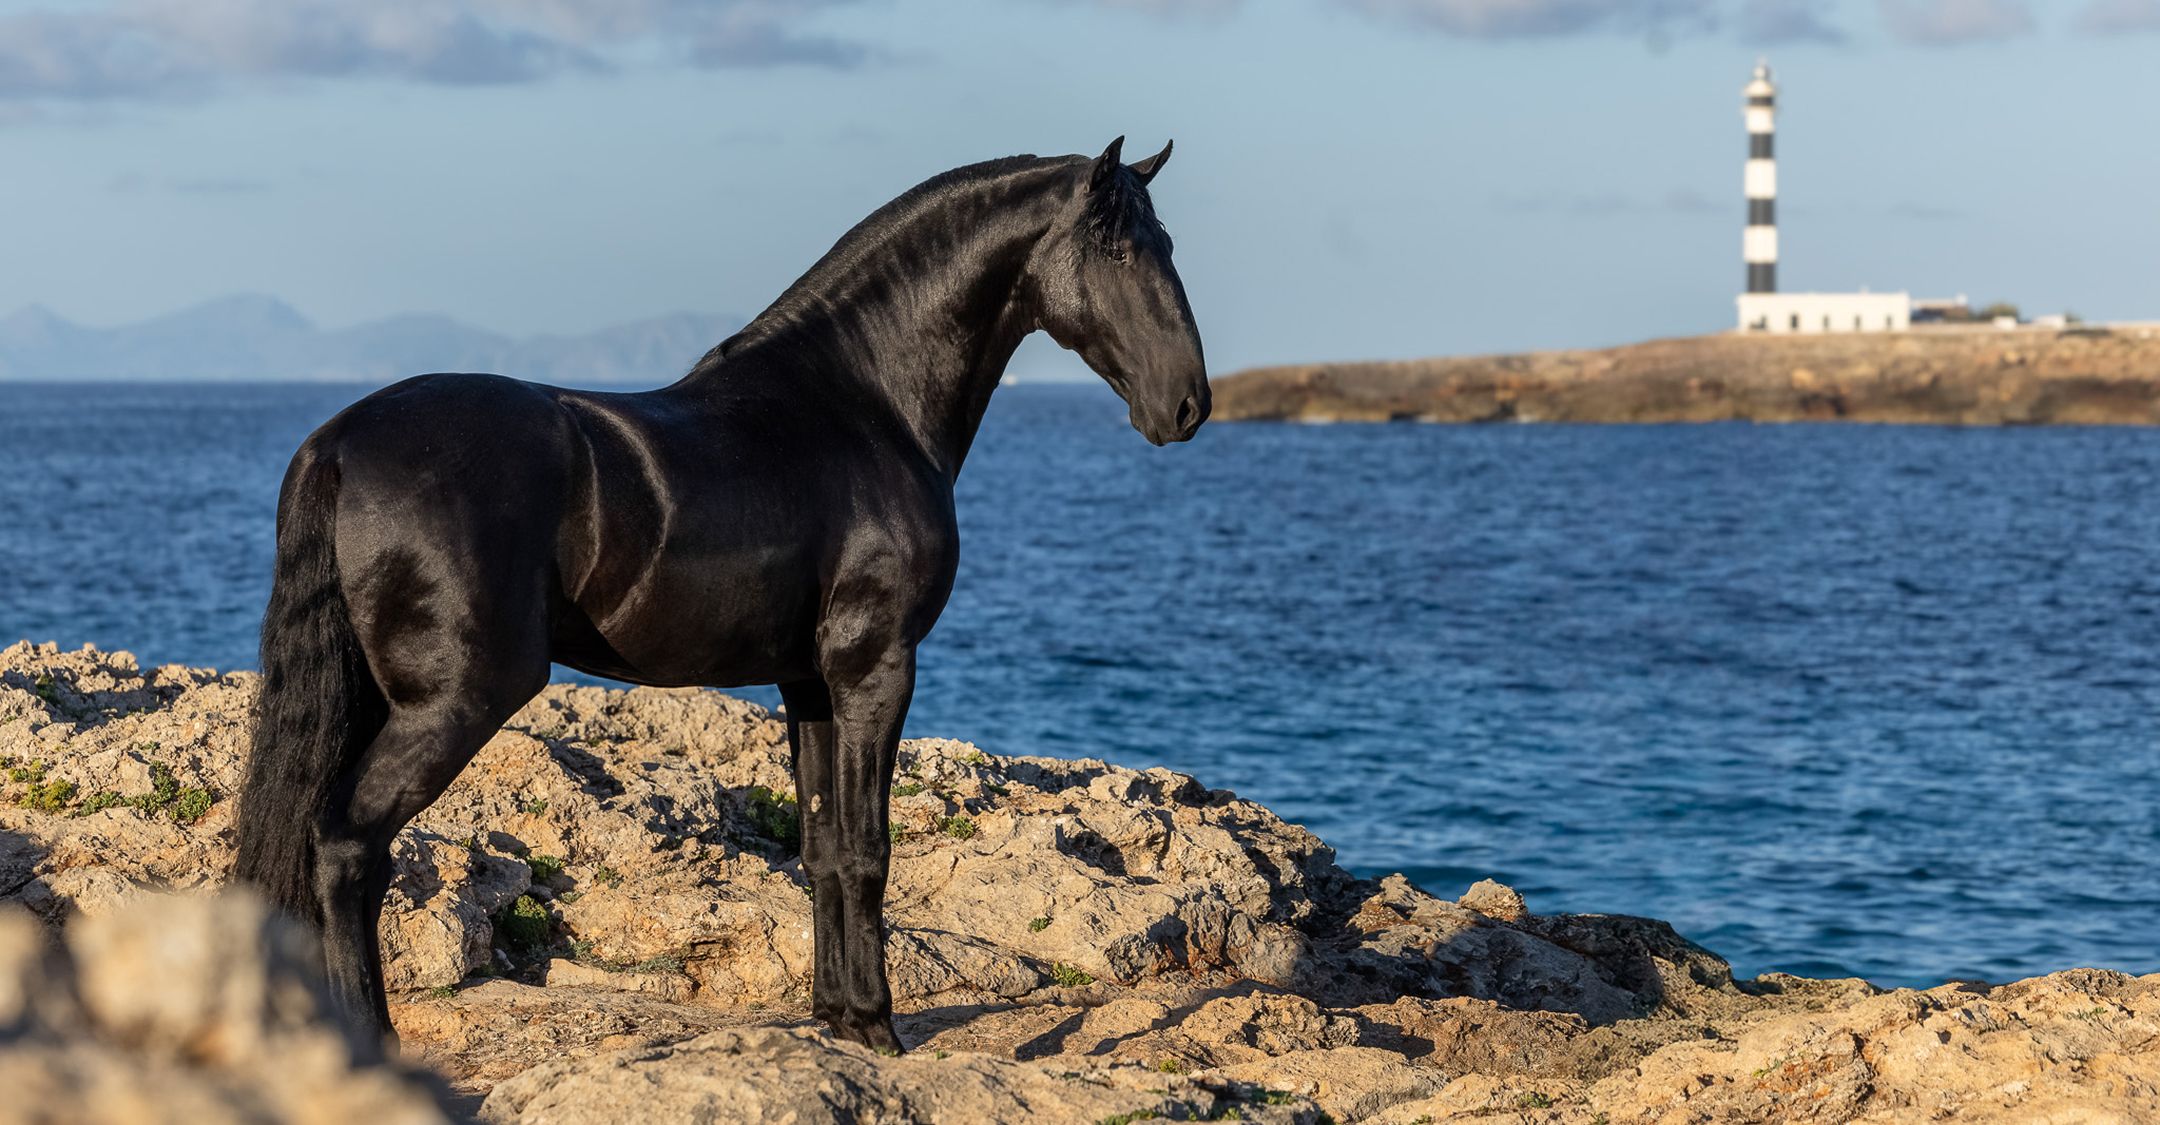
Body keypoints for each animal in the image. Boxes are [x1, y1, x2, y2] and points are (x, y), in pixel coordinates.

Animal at [230, 137, 1207, 1054]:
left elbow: (821, 848)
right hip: (457, 698)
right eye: (1121, 250)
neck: (864, 403)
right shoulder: (875, 668)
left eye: (1167, 242)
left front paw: (836, 1015)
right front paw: (878, 1026)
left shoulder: (810, 683)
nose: (1188, 405)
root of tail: (339, 442)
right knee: (348, 845)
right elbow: (868, 851)